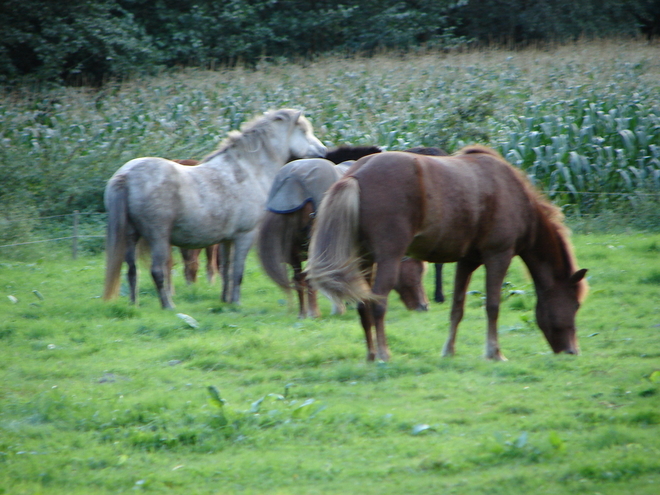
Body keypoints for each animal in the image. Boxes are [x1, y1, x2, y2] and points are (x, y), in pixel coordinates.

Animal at [103, 110, 328, 308]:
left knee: (132, 271)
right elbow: (238, 272)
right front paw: (236, 302)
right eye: (303, 131)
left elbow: (226, 270)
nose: (324, 152)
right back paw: (168, 306)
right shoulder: (245, 236)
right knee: (157, 271)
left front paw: (225, 300)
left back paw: (134, 305)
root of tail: (127, 174)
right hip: (157, 237)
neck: (248, 170)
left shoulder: (227, 240)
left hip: (131, 237)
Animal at [255, 157, 430, 320]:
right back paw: (315, 313)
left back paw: (303, 314)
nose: (424, 306)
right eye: (418, 270)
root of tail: (293, 180)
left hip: (294, 251)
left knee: (299, 279)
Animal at [304, 145, 588, 362]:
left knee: (364, 305)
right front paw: (494, 353)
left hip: (364, 259)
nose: (572, 351)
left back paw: (372, 355)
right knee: (378, 304)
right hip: (388, 259)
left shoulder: (467, 261)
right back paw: (384, 354)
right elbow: (493, 306)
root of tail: (355, 175)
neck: (513, 195)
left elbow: (457, 308)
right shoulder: (499, 256)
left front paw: (449, 351)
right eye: (575, 304)